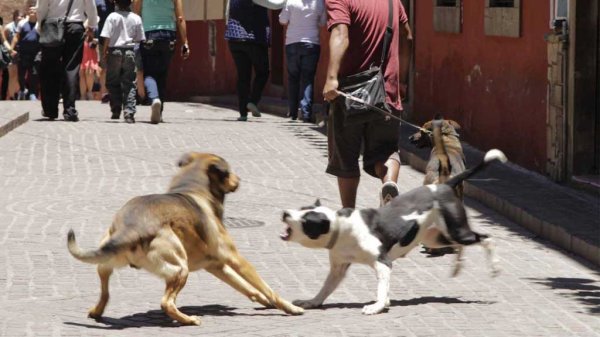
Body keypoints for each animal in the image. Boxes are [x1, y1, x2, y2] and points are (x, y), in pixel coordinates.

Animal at [67, 152, 302, 322]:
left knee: (105, 292)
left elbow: (248, 288)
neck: (193, 187)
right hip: (180, 267)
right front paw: (289, 307)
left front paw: (264, 301)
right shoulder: (235, 258)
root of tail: (131, 228)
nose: (239, 180)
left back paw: (97, 311)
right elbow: (266, 287)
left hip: (105, 264)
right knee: (166, 303)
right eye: (229, 172)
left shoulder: (216, 265)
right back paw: (188, 320)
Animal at [282, 148, 506, 314]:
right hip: (436, 237)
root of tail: (444, 186)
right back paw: (457, 267)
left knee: (486, 238)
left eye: (306, 221)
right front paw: (312, 302)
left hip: (458, 231)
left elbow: (382, 288)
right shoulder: (338, 268)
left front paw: (377, 307)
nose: (284, 213)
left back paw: (495, 266)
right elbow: (325, 288)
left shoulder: (383, 263)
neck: (342, 227)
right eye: (301, 210)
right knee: (460, 245)